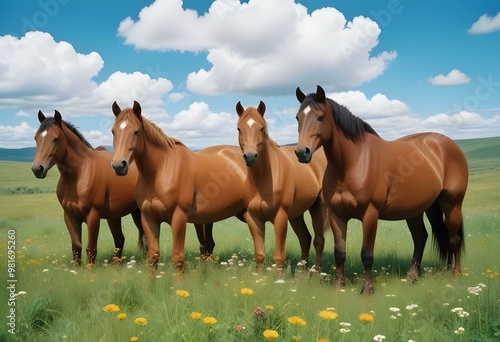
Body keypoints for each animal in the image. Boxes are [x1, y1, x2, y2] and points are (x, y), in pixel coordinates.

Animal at [32, 111, 144, 266]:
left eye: (55, 139)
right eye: (36, 138)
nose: (37, 169)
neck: (78, 175)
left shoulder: (93, 215)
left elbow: (91, 248)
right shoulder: (70, 215)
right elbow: (76, 247)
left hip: (139, 212)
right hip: (115, 215)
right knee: (120, 239)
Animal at [111, 101, 248, 278]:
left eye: (136, 131)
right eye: (113, 131)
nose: (118, 165)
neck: (161, 171)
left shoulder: (178, 217)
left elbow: (178, 257)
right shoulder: (148, 219)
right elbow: (153, 256)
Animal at [235, 101, 330, 272]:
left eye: (261, 128)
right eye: (239, 129)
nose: (250, 157)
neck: (262, 180)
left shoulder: (280, 217)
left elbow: (279, 257)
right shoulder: (254, 218)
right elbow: (259, 255)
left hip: (318, 208)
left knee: (319, 241)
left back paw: (316, 274)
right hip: (296, 214)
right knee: (305, 239)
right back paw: (301, 274)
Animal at [292, 86, 468, 294]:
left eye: (320, 117)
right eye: (297, 117)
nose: (302, 152)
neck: (351, 163)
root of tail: (449, 144)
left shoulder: (370, 214)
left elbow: (367, 255)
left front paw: (367, 290)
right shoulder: (336, 215)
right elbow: (339, 252)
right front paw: (338, 287)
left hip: (452, 203)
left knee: (454, 239)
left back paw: (456, 276)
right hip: (419, 209)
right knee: (421, 238)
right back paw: (412, 277)